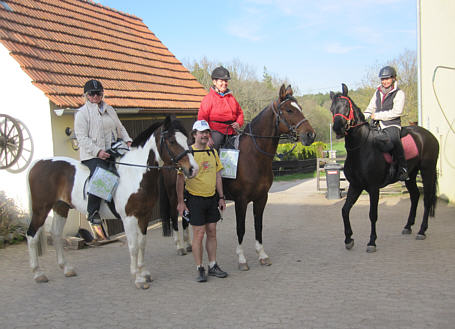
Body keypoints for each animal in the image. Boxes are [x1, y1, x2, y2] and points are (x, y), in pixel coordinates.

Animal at [26, 116, 198, 288]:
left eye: (187, 140)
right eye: (172, 141)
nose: (193, 169)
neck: (134, 174)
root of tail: (38, 163)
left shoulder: (144, 215)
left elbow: (142, 243)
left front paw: (144, 273)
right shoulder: (129, 218)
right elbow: (133, 246)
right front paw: (138, 278)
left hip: (61, 207)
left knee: (55, 234)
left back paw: (66, 268)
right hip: (41, 209)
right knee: (31, 235)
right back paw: (38, 274)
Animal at [330, 82, 440, 251]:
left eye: (346, 106)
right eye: (332, 108)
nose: (337, 128)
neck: (361, 147)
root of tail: (429, 136)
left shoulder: (373, 188)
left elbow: (372, 215)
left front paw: (372, 242)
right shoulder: (355, 186)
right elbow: (345, 210)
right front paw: (348, 239)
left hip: (427, 170)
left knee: (427, 199)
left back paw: (422, 231)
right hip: (410, 175)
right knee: (415, 196)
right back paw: (408, 226)